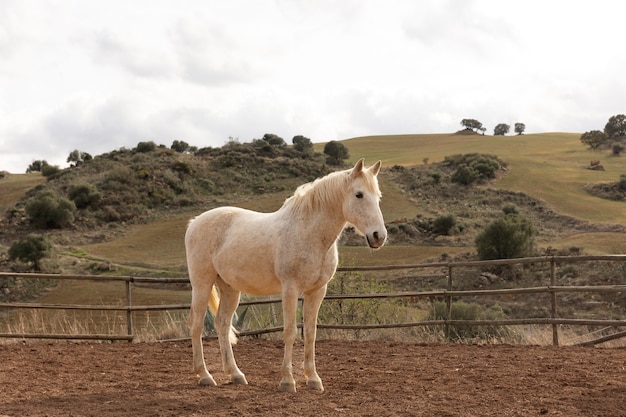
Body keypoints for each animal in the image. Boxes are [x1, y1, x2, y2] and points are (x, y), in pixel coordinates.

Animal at [184, 158, 386, 392]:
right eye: (359, 194)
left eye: (378, 197)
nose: (378, 236)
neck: (309, 233)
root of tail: (195, 222)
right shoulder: (290, 289)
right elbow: (290, 331)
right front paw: (288, 381)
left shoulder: (317, 291)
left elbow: (311, 333)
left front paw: (313, 379)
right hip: (202, 284)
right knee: (196, 325)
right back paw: (204, 375)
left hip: (230, 288)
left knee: (223, 324)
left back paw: (235, 374)